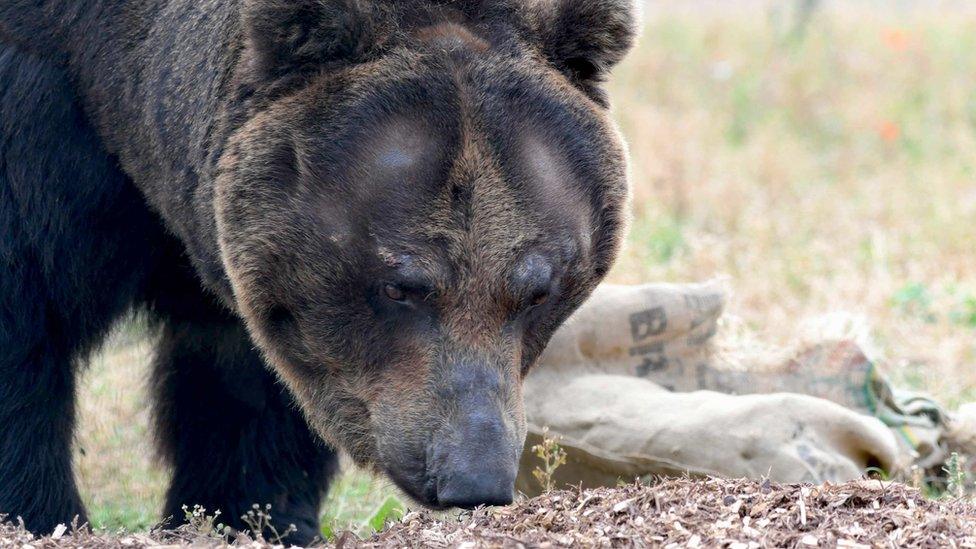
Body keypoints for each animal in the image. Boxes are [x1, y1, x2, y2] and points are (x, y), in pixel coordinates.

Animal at [0, 0, 636, 540]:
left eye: (538, 290)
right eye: (400, 286)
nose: (473, 478)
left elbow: (251, 379)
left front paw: (251, 513)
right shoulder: (43, 129)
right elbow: (24, 330)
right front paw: (42, 514)